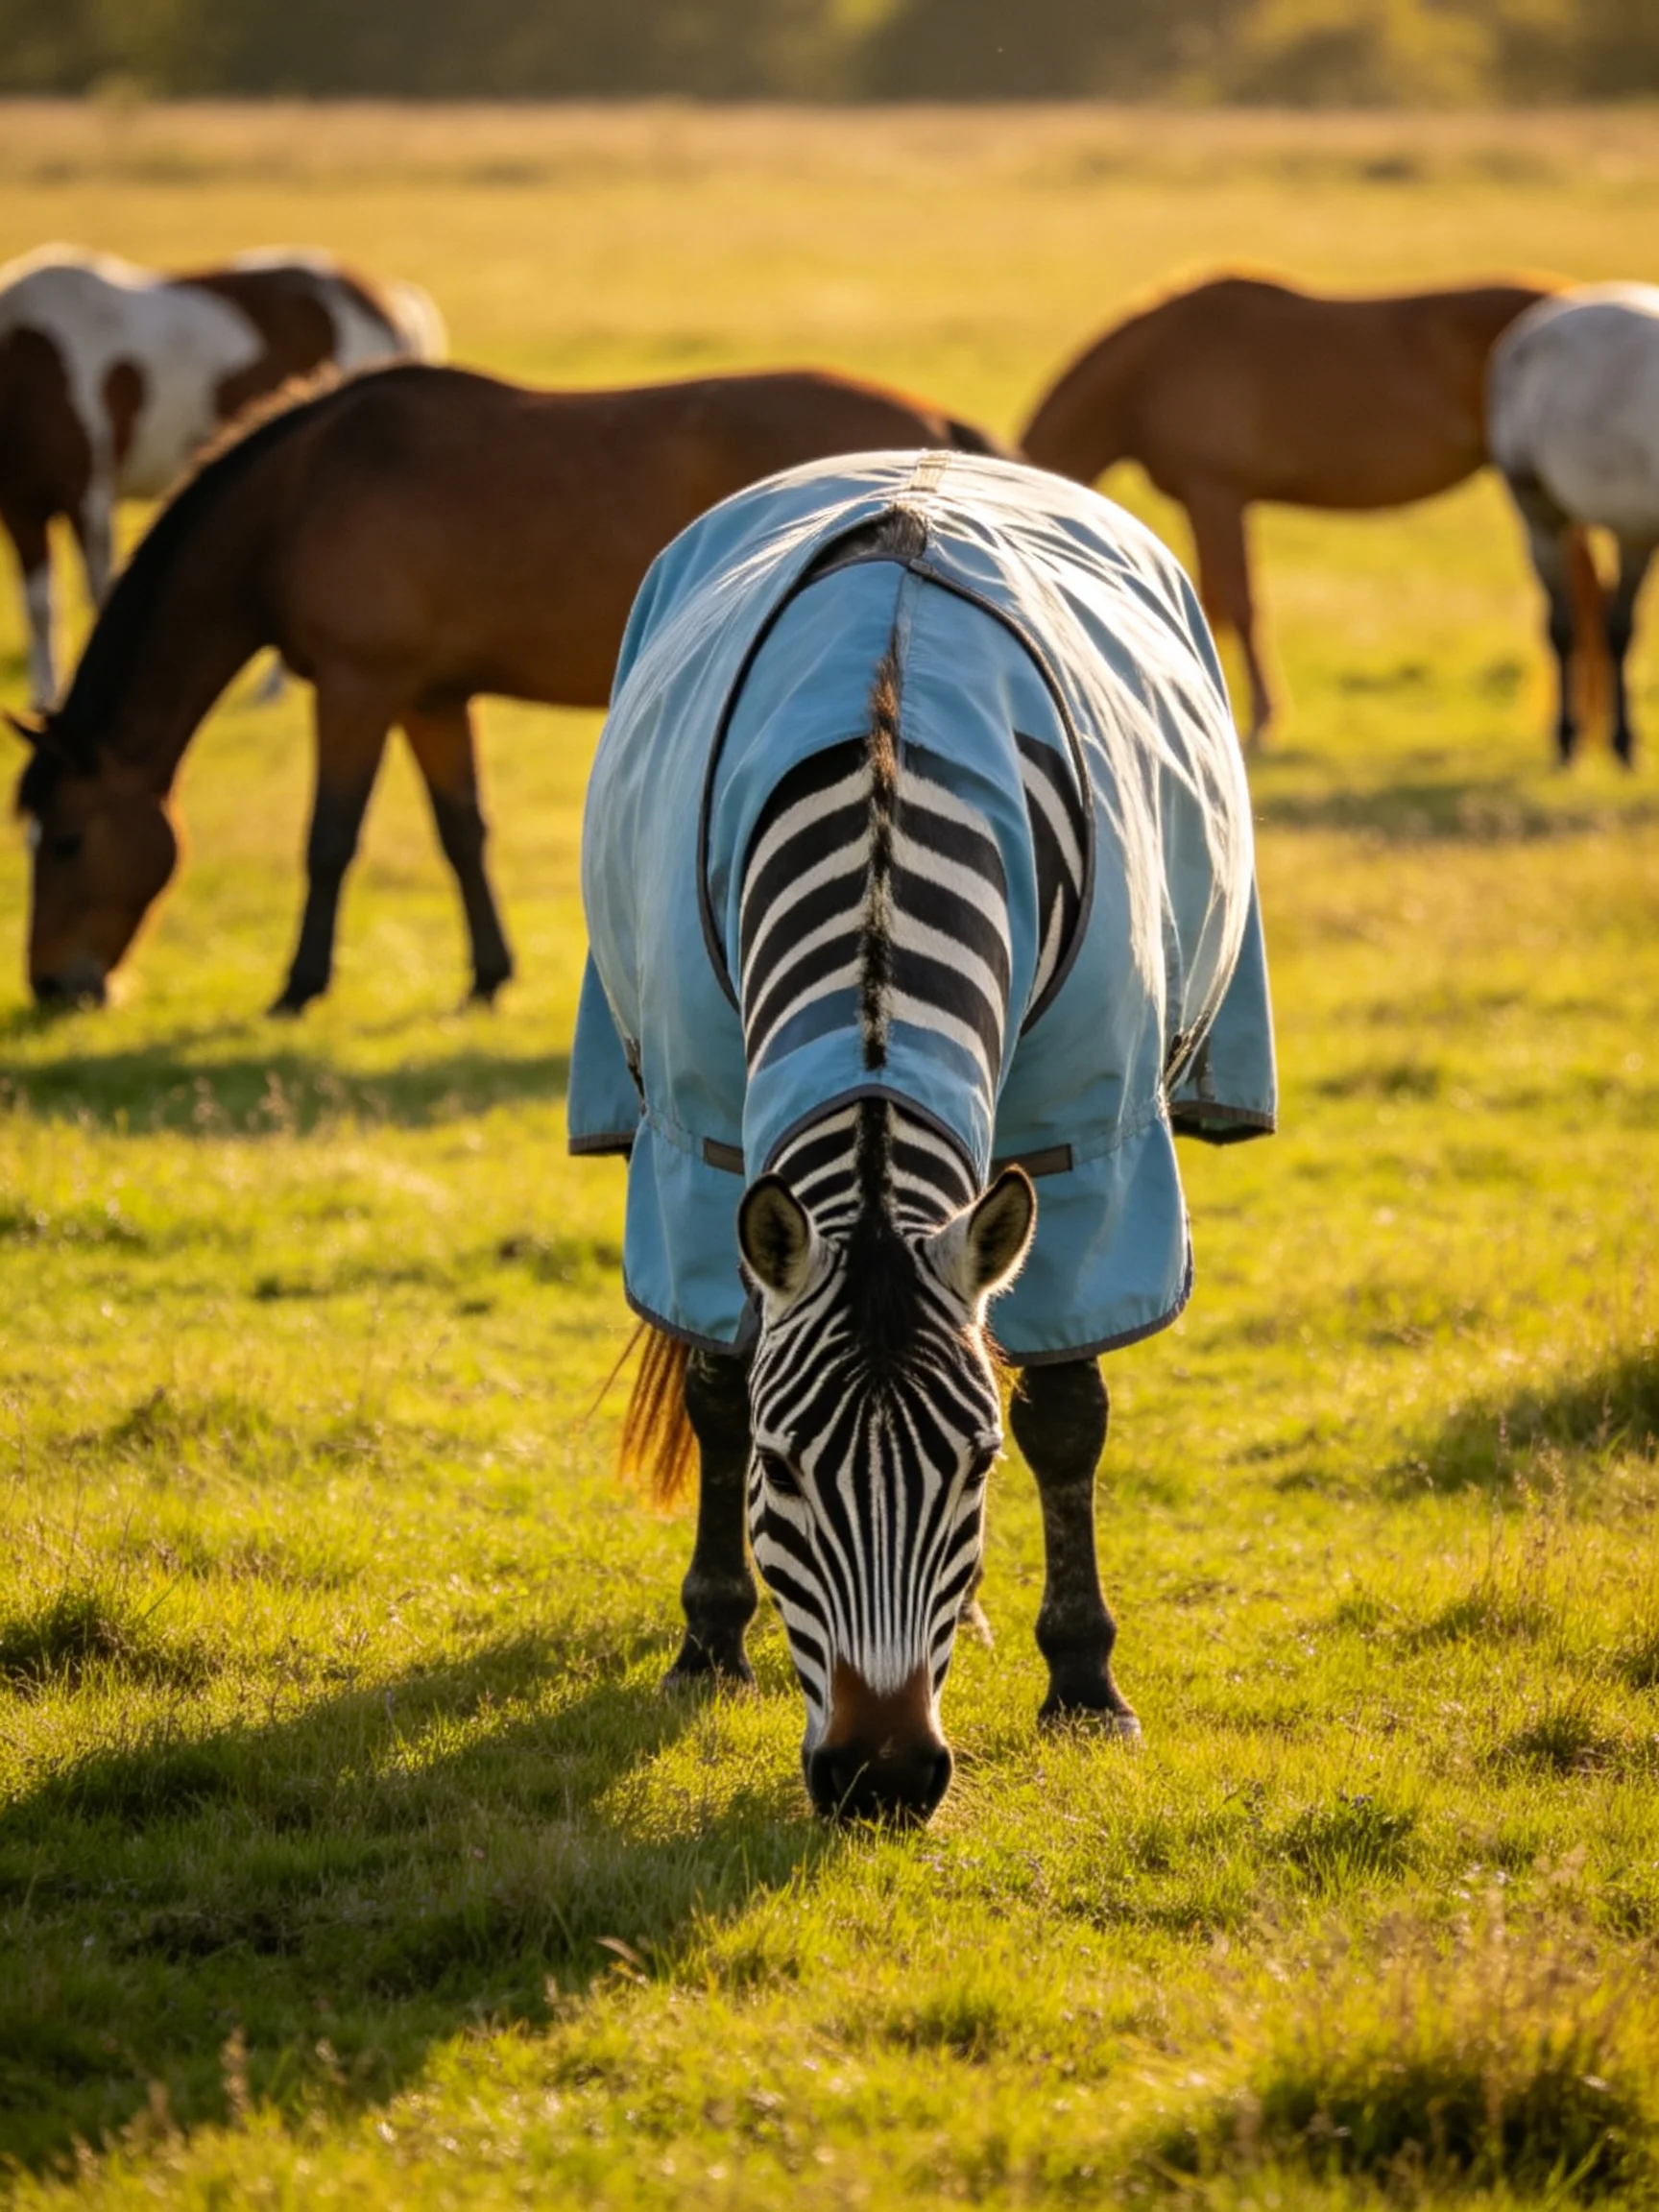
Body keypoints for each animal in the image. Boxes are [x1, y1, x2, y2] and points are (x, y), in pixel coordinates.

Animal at [0, 244, 445, 708]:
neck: (27, 360)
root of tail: (391, 298)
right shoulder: (19, 505)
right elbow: (38, 604)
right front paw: (43, 694)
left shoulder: (87, 495)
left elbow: (98, 594)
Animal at [9, 363, 1004, 1010]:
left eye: (66, 841)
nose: (52, 985)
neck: (301, 494)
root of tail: (941, 433)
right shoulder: (430, 699)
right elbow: (463, 833)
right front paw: (488, 975)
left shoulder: (358, 688)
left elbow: (329, 839)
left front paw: (298, 986)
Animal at [571, 451, 1276, 1823]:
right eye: (785, 1470)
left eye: (976, 1467)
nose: (884, 1778)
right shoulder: (699, 1142)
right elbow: (719, 1387)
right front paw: (708, 1641)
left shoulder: (1086, 1141)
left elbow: (1071, 1414)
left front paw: (1084, 1683)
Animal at [1019, 272, 1601, 747]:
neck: (1153, 369)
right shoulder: (1201, 500)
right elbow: (1211, 601)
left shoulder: (1216, 493)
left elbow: (1238, 604)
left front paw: (1260, 722)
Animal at [1488, 283, 1659, 768]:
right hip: (1541, 516)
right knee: (1563, 626)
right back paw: (1568, 738)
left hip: (1632, 528)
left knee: (1616, 626)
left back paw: (1623, 740)